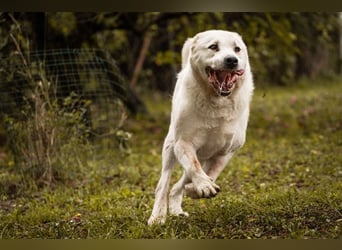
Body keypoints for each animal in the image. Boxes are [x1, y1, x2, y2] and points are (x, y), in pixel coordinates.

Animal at [148, 29, 254, 225]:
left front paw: (196, 189)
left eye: (237, 49)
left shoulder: (225, 152)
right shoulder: (183, 143)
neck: (217, 102)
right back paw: (158, 217)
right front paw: (204, 185)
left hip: (204, 154)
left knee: (177, 185)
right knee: (164, 184)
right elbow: (193, 165)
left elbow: (212, 172)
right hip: (170, 147)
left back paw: (177, 209)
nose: (232, 60)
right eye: (213, 46)